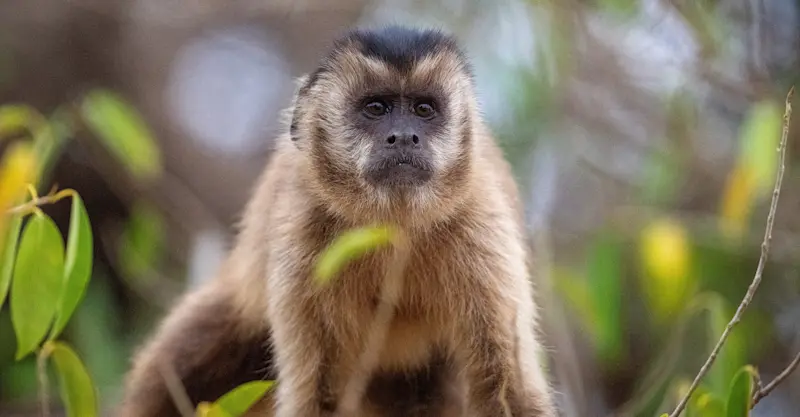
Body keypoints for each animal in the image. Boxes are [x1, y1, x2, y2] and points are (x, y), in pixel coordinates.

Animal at [117, 25, 557, 417]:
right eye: (376, 108)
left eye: (423, 110)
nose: (403, 136)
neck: (390, 229)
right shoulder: (304, 235)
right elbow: (316, 396)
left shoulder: (481, 225)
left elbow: (509, 393)